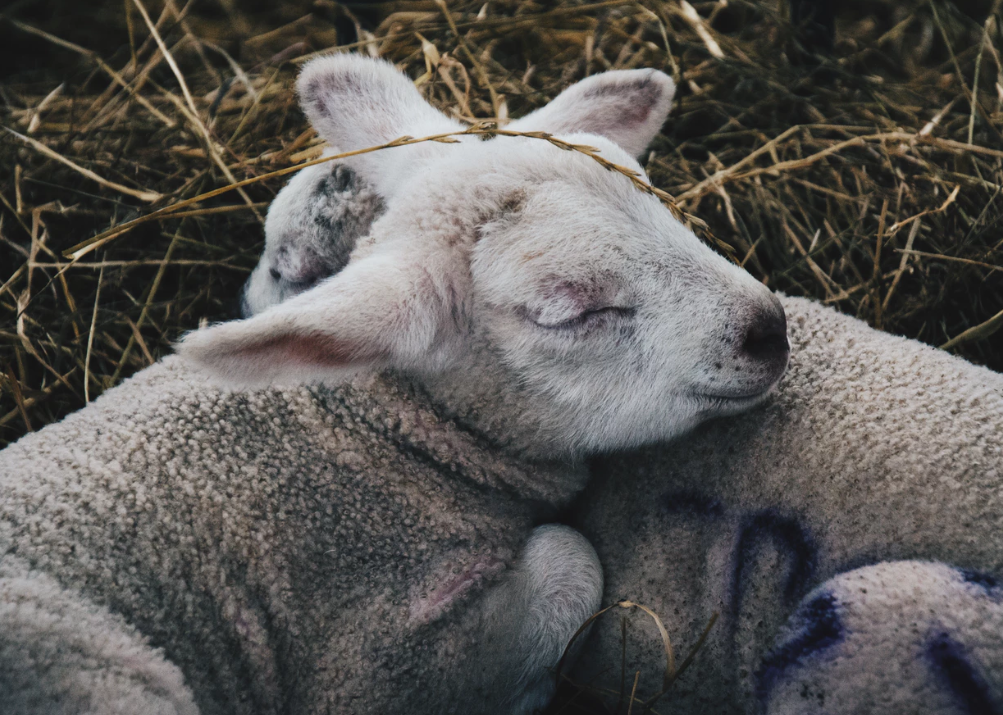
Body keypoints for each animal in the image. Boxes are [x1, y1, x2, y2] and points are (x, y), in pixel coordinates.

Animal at [0, 57, 790, 713]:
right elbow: (571, 558)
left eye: (658, 201)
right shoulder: (370, 669)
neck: (376, 433)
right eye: (570, 309)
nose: (770, 328)